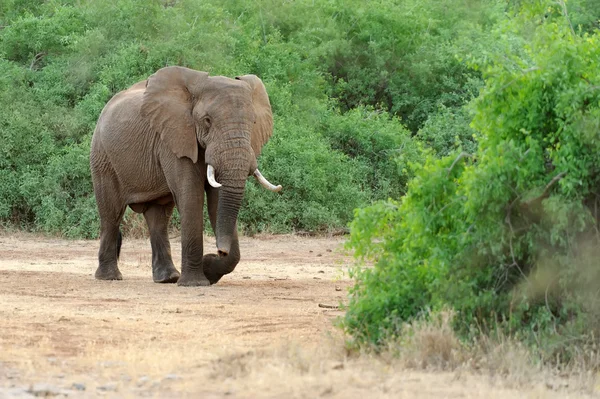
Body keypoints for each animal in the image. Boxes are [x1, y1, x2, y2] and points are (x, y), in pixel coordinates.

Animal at [91, 65, 282, 286]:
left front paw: (209, 269)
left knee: (158, 217)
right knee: (111, 214)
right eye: (207, 121)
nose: (219, 251)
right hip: (103, 157)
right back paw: (110, 277)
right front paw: (196, 282)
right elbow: (191, 196)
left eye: (253, 122)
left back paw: (168, 278)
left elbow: (217, 201)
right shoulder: (174, 138)